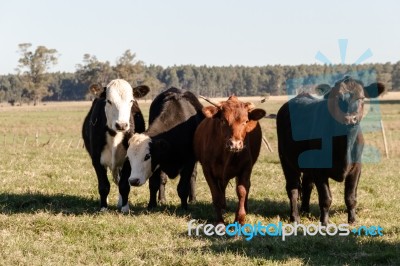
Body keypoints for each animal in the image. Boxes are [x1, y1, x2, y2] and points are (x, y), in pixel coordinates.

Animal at [82, 78, 149, 211]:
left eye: (131, 101)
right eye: (109, 101)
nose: (121, 125)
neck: (114, 136)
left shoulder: (128, 160)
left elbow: (124, 185)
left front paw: (125, 208)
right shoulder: (96, 159)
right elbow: (103, 185)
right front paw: (103, 207)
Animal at [194, 95, 266, 224]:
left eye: (245, 121)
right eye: (223, 120)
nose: (235, 144)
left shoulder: (246, 168)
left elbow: (242, 191)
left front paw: (240, 219)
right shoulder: (207, 170)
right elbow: (216, 195)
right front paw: (220, 222)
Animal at [278, 76, 384, 224]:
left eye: (362, 98)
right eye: (337, 98)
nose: (350, 118)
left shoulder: (356, 167)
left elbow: (350, 197)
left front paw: (352, 220)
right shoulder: (319, 170)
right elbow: (326, 198)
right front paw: (325, 222)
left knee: (307, 185)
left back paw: (305, 211)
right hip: (286, 160)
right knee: (292, 189)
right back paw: (295, 217)